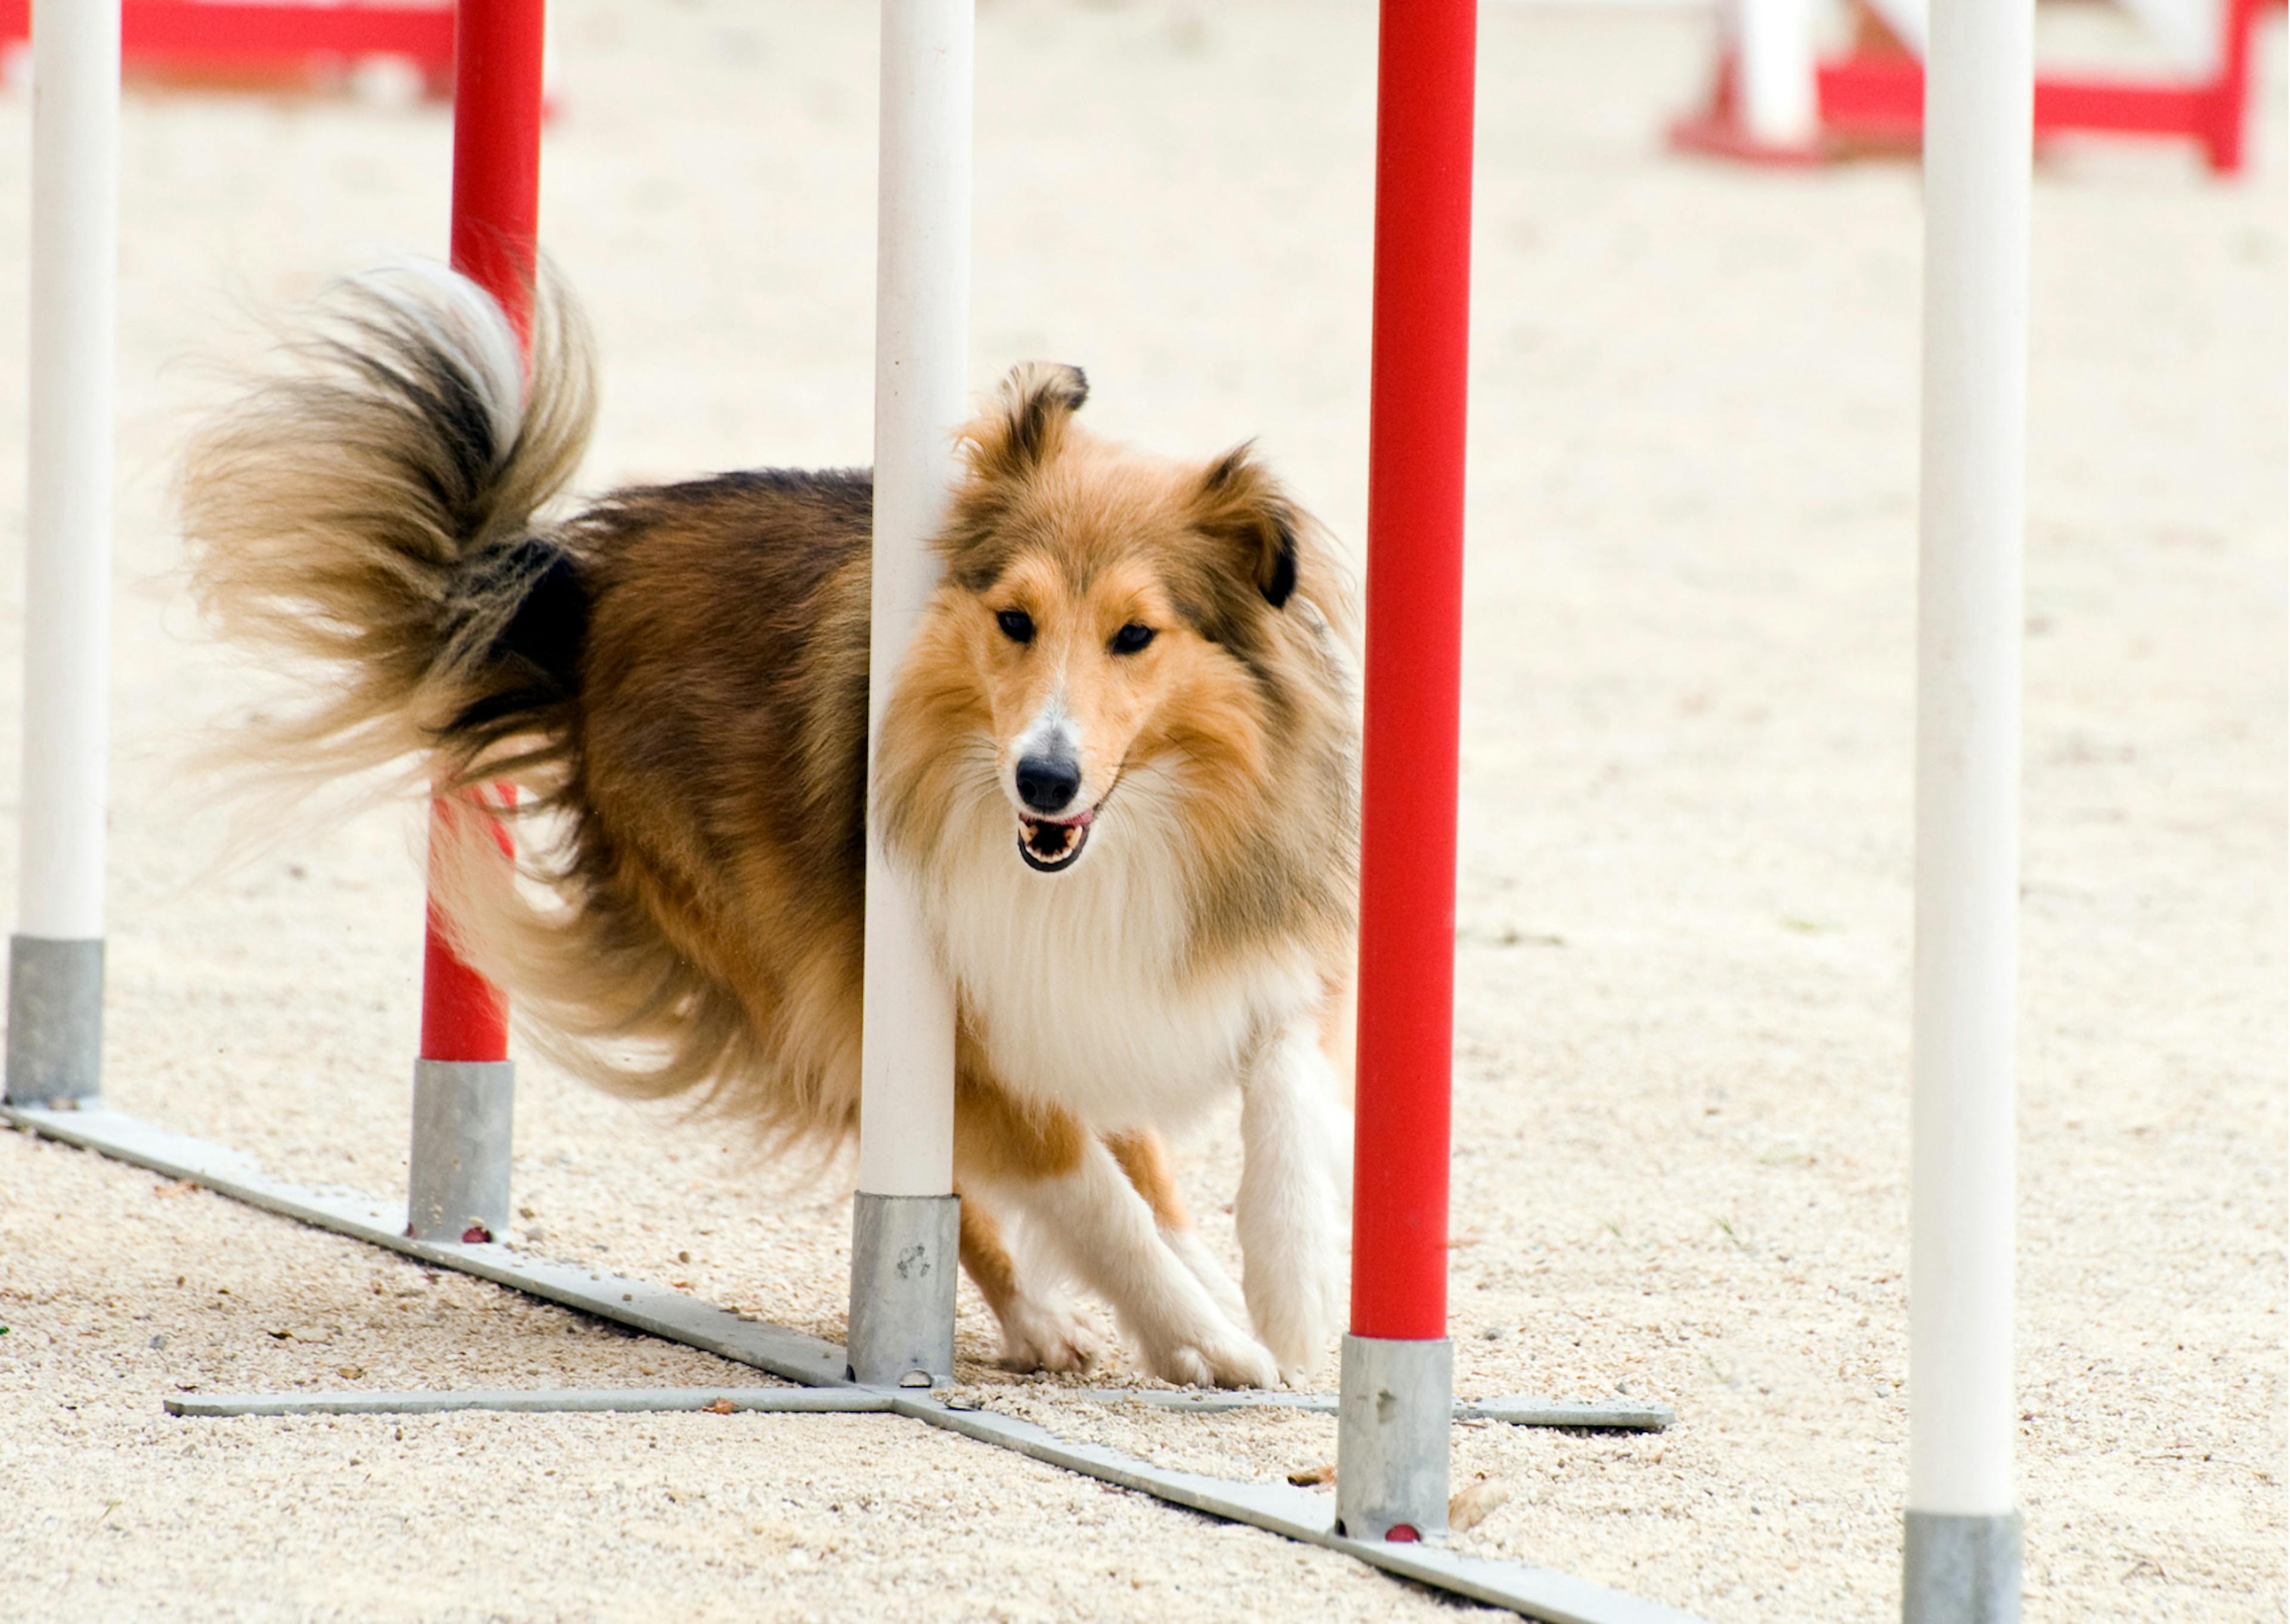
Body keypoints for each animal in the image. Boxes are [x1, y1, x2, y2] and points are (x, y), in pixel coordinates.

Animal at [187, 265, 1356, 1383]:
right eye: (1014, 620)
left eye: (1137, 635)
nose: (1046, 779)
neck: (1116, 841)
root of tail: (580, 599)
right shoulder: (945, 1014)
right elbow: (1088, 1190)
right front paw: (1202, 1339)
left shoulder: (1193, 954)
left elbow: (1279, 1083)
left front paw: (1288, 1287)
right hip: (797, 964)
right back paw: (1046, 1318)